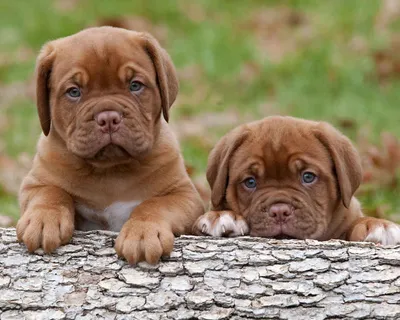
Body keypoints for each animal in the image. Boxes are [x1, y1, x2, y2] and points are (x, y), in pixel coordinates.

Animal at [16, 26, 205, 262]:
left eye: (135, 85)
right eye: (74, 91)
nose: (108, 118)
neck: (110, 170)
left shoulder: (184, 195)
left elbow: (155, 204)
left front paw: (143, 232)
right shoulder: (35, 183)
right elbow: (51, 193)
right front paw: (43, 220)